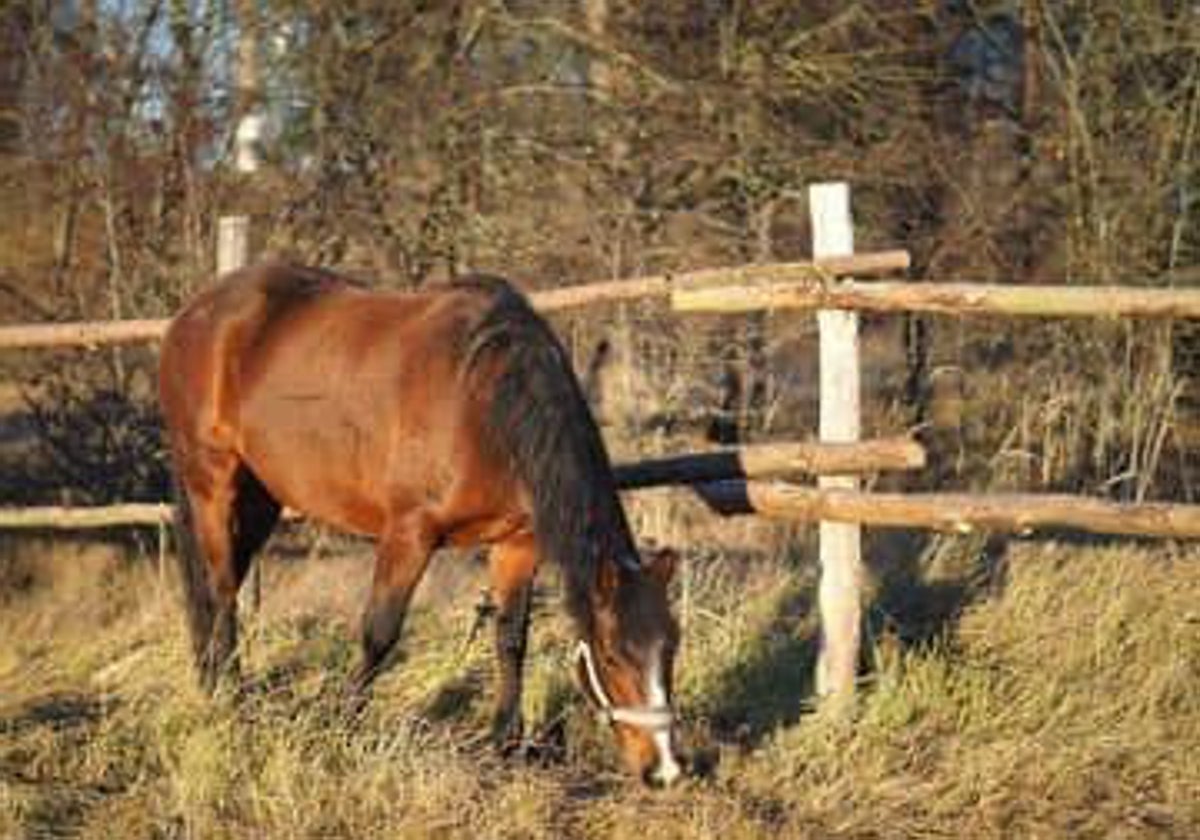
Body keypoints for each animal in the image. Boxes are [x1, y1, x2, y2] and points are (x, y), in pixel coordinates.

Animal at [159, 264, 686, 787]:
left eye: (672, 648)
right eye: (613, 655)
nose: (664, 770)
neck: (484, 401)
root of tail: (195, 312)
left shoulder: (518, 543)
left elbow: (511, 636)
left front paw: (506, 741)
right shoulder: (409, 534)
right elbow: (380, 632)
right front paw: (341, 725)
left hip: (261, 495)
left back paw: (212, 680)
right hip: (213, 482)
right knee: (220, 590)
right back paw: (229, 694)